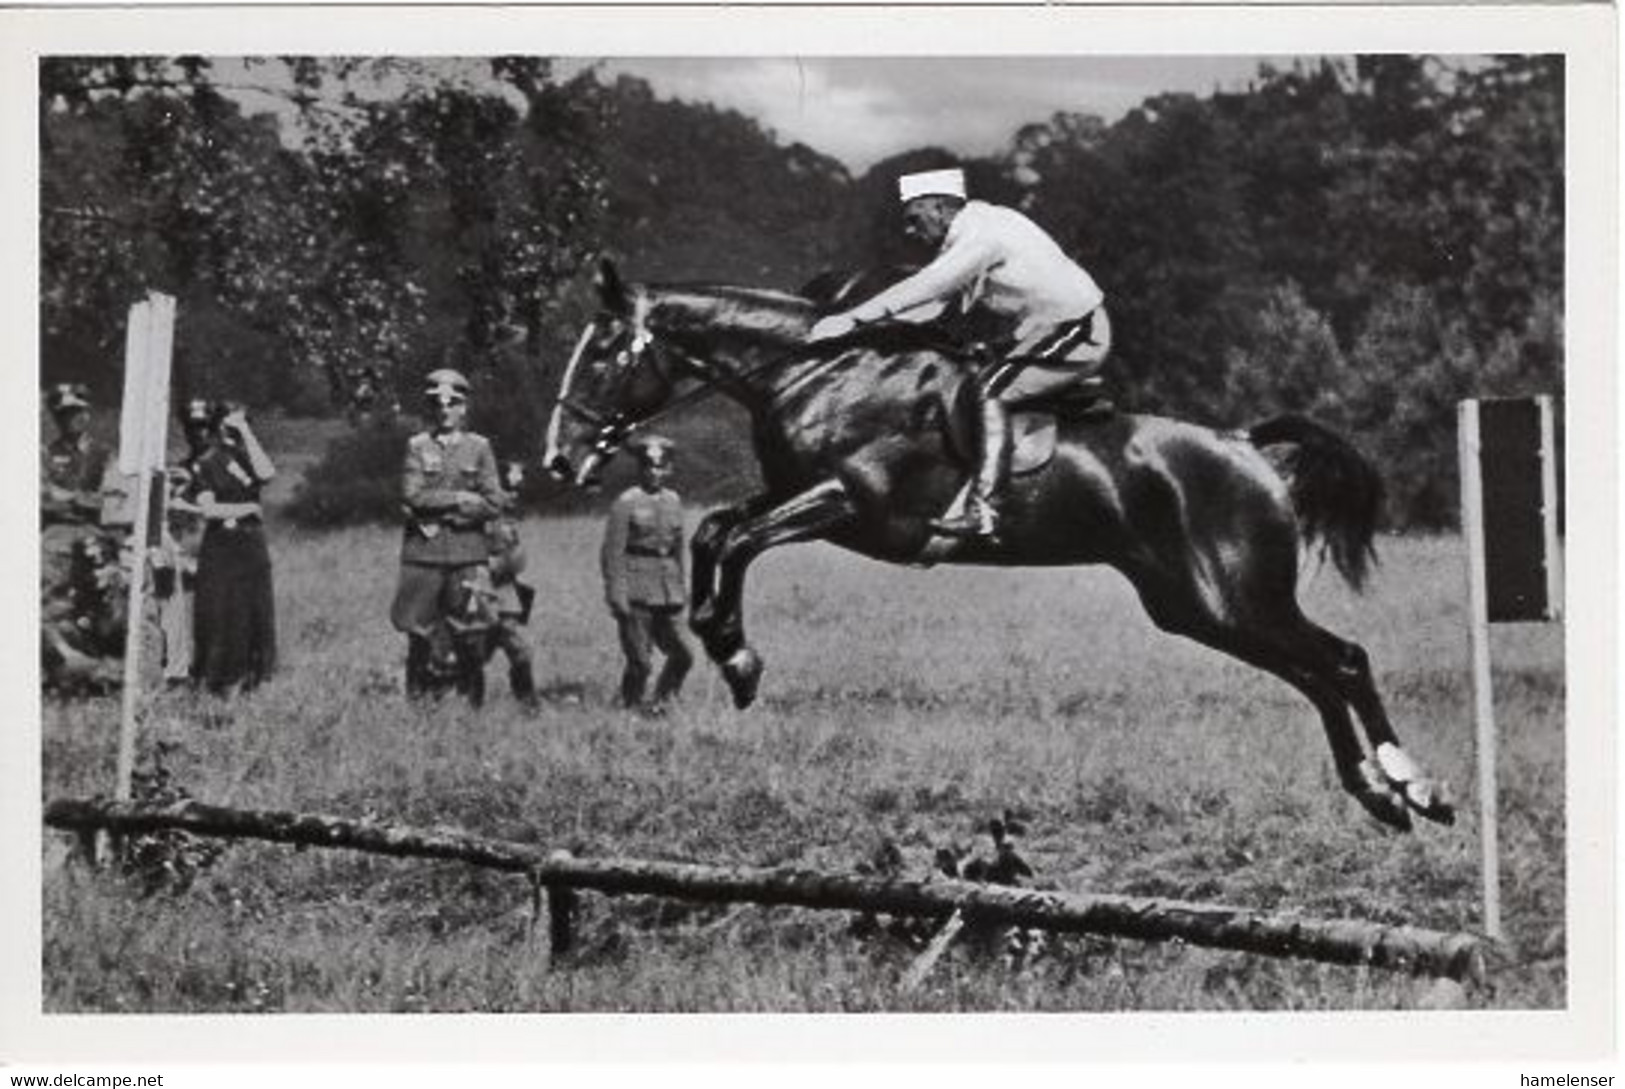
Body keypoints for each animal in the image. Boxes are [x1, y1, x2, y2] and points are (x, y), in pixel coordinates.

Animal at [546, 258, 1462, 838]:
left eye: (604, 351)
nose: (560, 458)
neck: (818, 372)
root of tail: (1242, 445)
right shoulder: (799, 498)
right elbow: (715, 532)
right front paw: (728, 647)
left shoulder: (850, 504)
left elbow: (735, 539)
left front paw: (736, 658)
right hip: (1194, 609)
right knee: (1315, 673)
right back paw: (1380, 796)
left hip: (1235, 597)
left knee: (1340, 659)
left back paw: (1416, 786)